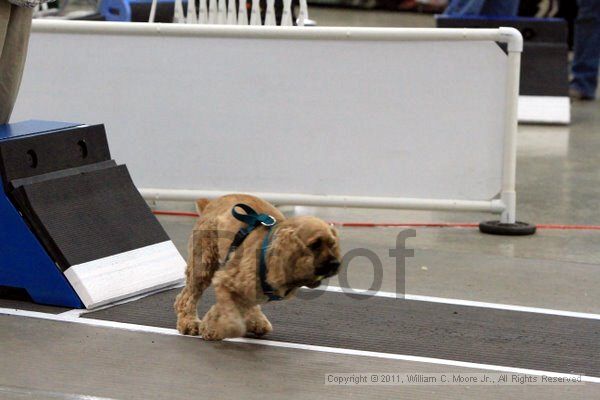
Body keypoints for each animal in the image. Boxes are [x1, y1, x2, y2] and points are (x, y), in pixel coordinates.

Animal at [173, 194, 342, 340]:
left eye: (332, 244)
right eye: (315, 244)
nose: (336, 264)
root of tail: (209, 204)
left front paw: (212, 327)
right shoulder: (225, 280)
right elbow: (228, 314)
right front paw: (213, 328)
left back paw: (256, 321)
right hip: (203, 265)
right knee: (186, 297)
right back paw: (189, 323)